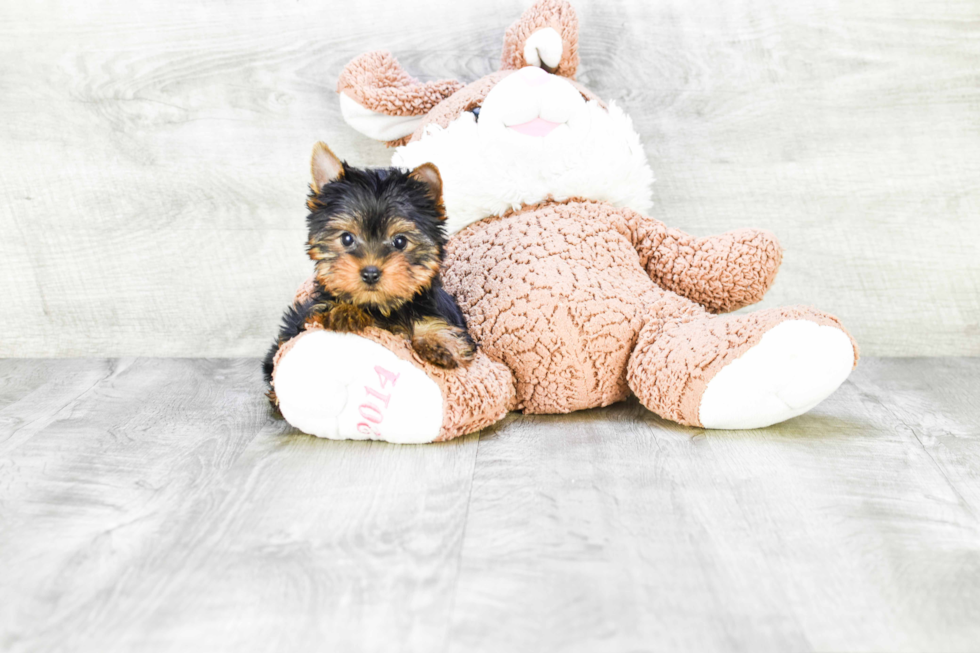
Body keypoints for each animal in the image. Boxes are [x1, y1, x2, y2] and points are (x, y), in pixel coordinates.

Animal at [260, 143, 474, 408]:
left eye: (400, 241)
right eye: (346, 238)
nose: (370, 273)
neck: (381, 307)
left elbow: (433, 322)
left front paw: (438, 342)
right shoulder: (310, 312)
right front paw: (346, 311)